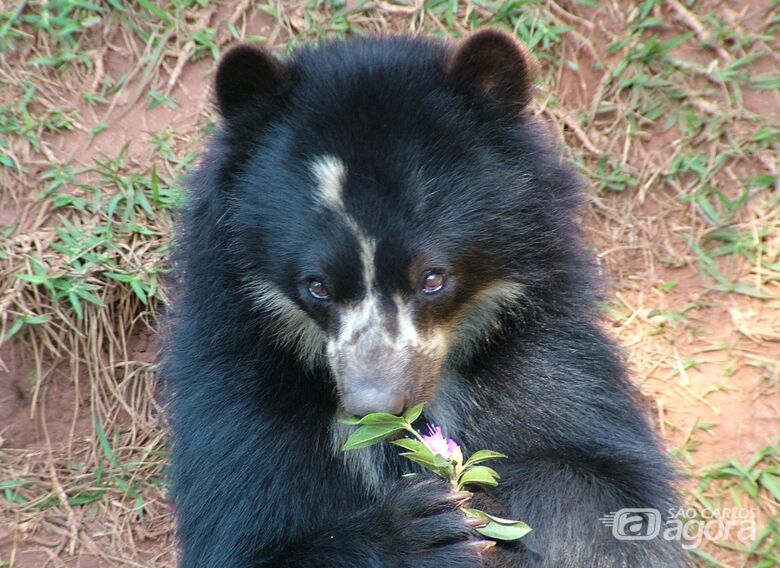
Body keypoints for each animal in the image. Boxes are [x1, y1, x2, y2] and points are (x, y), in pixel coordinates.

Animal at [163, 31, 688, 568]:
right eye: (317, 286)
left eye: (433, 278)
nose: (375, 403)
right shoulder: (242, 371)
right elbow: (247, 538)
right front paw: (421, 530)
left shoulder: (544, 336)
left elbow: (608, 492)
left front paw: (483, 503)